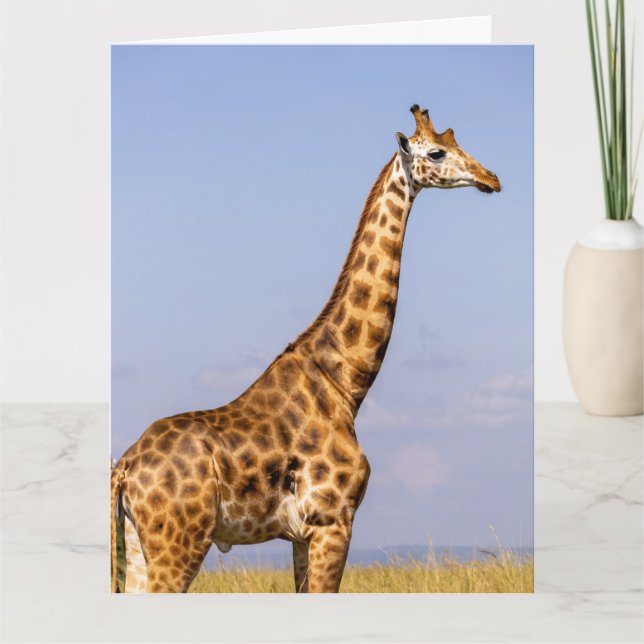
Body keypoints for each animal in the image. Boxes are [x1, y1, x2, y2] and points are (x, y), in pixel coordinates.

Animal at [110, 104, 501, 593]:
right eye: (436, 152)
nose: (491, 178)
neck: (346, 384)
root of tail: (124, 467)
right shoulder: (334, 521)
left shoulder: (301, 535)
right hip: (178, 543)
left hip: (137, 544)